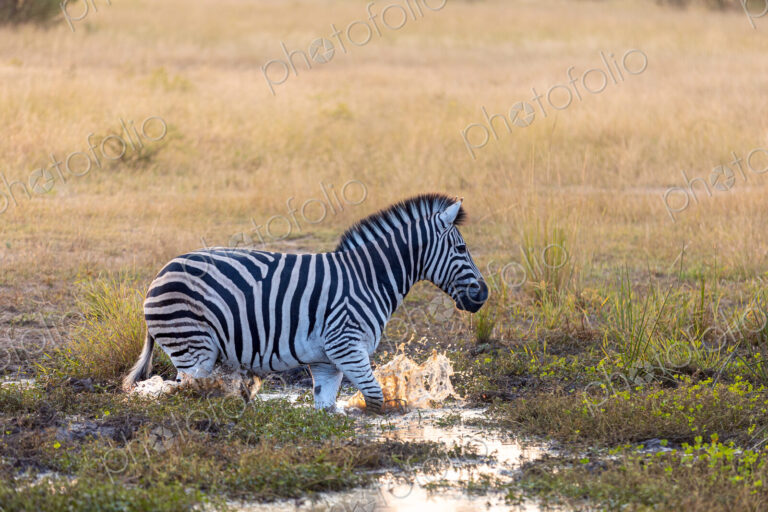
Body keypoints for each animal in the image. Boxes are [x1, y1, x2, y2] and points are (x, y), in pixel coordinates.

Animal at [123, 193, 488, 412]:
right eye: (461, 249)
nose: (483, 295)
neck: (368, 278)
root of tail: (160, 274)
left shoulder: (327, 360)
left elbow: (326, 408)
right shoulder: (347, 345)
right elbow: (375, 399)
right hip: (193, 349)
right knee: (186, 394)